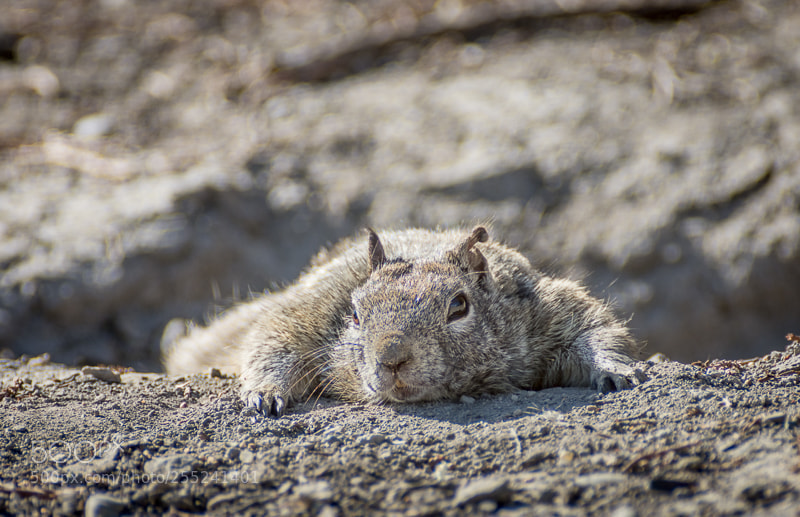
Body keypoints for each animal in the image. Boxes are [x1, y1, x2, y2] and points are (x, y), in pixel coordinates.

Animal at [163, 226, 642, 417]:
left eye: (459, 306)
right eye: (356, 313)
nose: (391, 358)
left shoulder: (547, 308)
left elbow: (592, 325)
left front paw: (616, 369)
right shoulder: (306, 313)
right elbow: (272, 342)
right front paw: (264, 394)